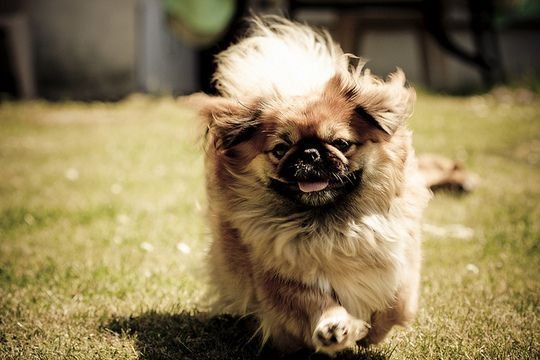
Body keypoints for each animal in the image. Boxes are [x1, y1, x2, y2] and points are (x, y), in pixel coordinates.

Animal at [198, 16, 430, 354]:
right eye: (281, 149)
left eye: (341, 143)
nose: (310, 152)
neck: (329, 227)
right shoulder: (280, 281)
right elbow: (314, 304)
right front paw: (335, 329)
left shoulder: (400, 265)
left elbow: (396, 304)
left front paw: (370, 332)